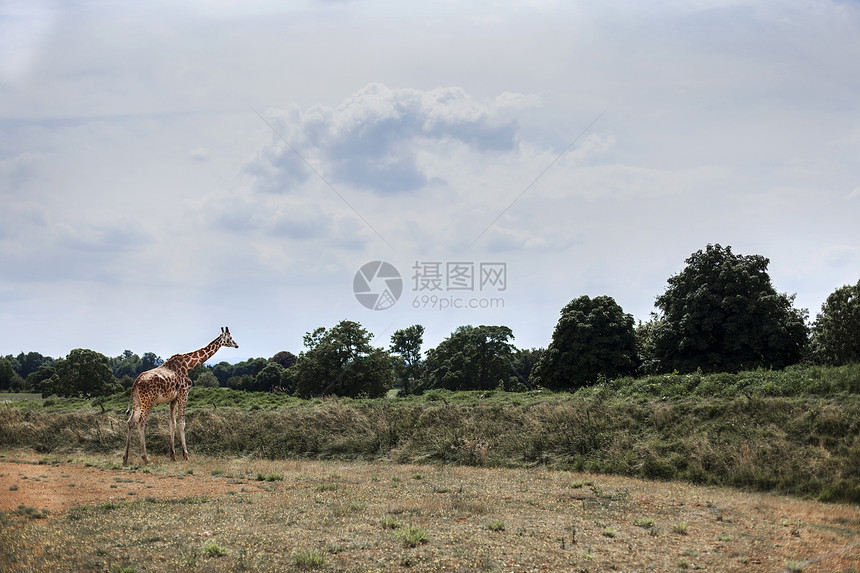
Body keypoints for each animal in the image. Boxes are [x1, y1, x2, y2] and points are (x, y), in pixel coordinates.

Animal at [123, 326, 239, 464]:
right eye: (230, 337)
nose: (237, 345)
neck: (189, 365)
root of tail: (136, 382)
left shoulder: (173, 399)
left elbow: (172, 423)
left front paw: (173, 455)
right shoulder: (184, 393)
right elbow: (182, 423)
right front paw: (185, 455)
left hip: (137, 401)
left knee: (130, 421)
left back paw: (125, 458)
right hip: (148, 401)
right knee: (141, 422)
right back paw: (145, 458)